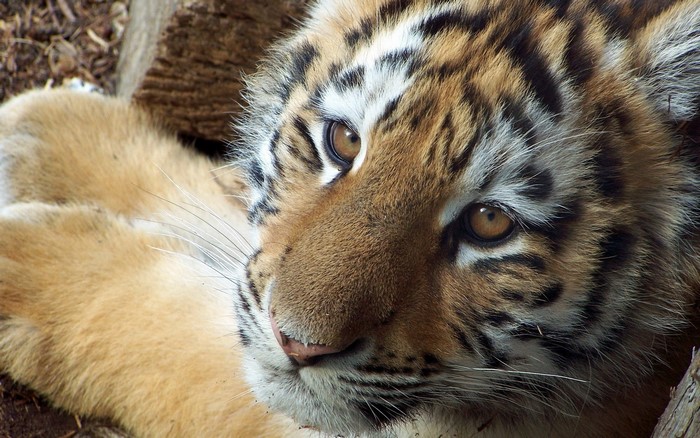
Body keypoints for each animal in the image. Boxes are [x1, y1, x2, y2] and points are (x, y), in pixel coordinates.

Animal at [1, 0, 699, 436]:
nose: (297, 344)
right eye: (341, 141)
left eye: (489, 223)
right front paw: (49, 134)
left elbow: (173, 335)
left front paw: (26, 266)